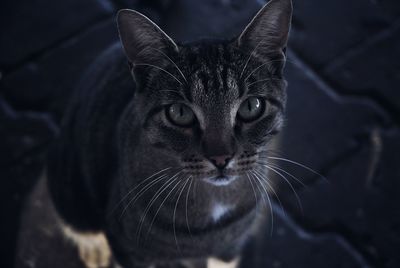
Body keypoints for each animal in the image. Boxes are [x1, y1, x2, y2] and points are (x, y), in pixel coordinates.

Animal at [47, 0, 292, 266]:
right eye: (180, 112)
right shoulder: (128, 250)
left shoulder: (229, 249)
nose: (221, 158)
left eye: (251, 106)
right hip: (70, 189)